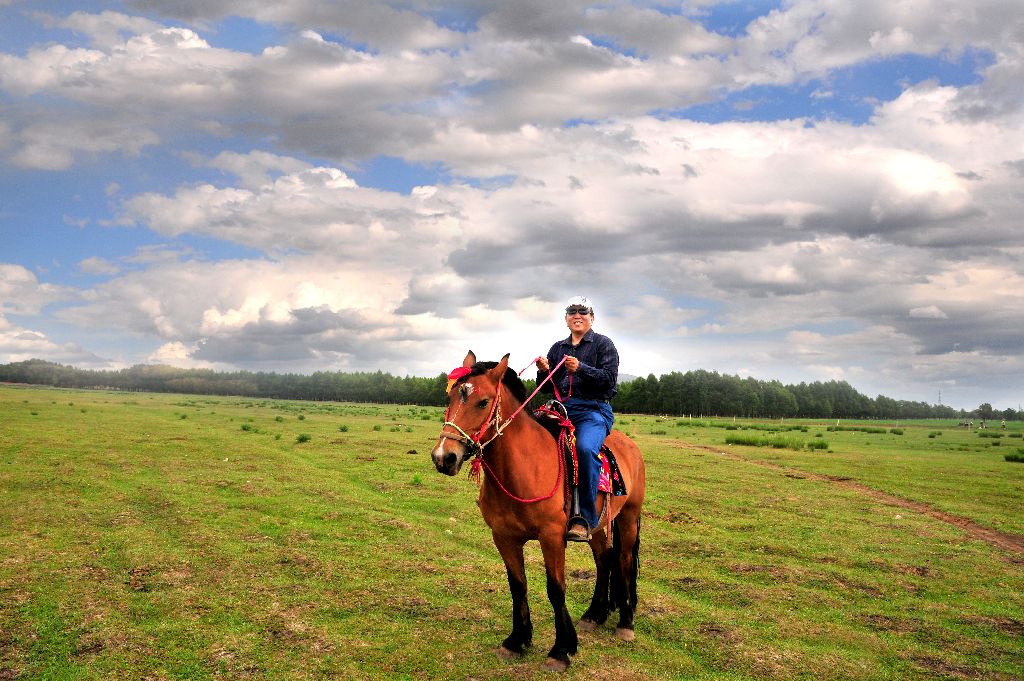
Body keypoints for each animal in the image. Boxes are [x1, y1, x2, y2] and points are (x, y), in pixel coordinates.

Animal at [432, 352, 647, 671]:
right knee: (604, 560)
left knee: (624, 560)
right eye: (450, 399)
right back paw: (594, 615)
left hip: (629, 517)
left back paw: (625, 623)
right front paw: (516, 640)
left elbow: (556, 589)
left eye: (483, 402)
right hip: (596, 525)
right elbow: (517, 585)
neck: (522, 469)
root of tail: (629, 445)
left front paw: (561, 649)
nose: (443, 457)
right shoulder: (504, 538)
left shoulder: (552, 537)